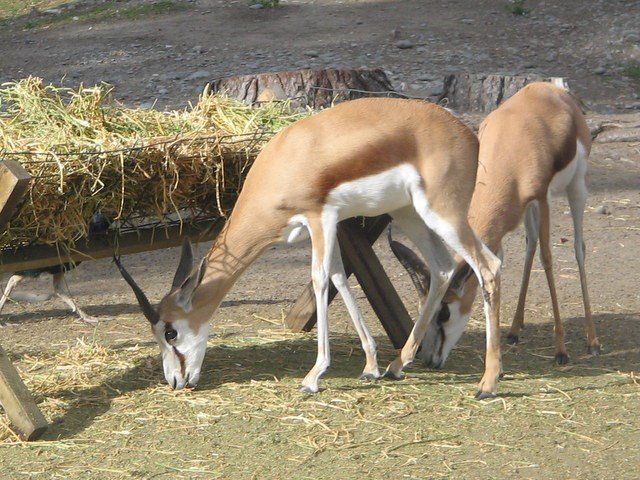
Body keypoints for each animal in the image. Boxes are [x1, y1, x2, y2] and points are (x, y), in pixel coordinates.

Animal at [115, 97, 503, 398]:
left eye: (170, 332)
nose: (175, 381)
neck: (284, 164)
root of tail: (468, 133)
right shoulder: (330, 228)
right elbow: (340, 279)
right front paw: (370, 366)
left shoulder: (321, 218)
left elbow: (321, 280)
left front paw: (313, 377)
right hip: (408, 212)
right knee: (442, 268)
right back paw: (397, 365)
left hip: (442, 213)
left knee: (489, 265)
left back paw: (487, 383)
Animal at [390, 81, 600, 369]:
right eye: (424, 308)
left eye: (444, 312)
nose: (431, 360)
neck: (511, 153)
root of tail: (547, 87)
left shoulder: (542, 198)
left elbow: (547, 259)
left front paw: (560, 350)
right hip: (528, 211)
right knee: (530, 244)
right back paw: (514, 330)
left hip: (575, 187)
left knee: (578, 248)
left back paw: (593, 341)